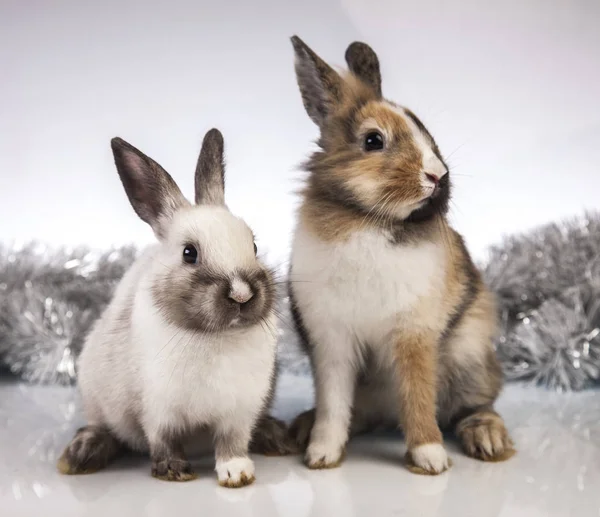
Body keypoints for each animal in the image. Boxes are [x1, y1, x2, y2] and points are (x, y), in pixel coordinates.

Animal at [288, 34, 512, 474]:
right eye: (373, 141)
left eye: (426, 130)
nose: (438, 175)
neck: (368, 219)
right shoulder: (332, 344)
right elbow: (333, 404)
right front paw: (321, 454)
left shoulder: (414, 335)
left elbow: (418, 394)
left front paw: (430, 458)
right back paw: (301, 429)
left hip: (470, 358)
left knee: (474, 406)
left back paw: (488, 439)